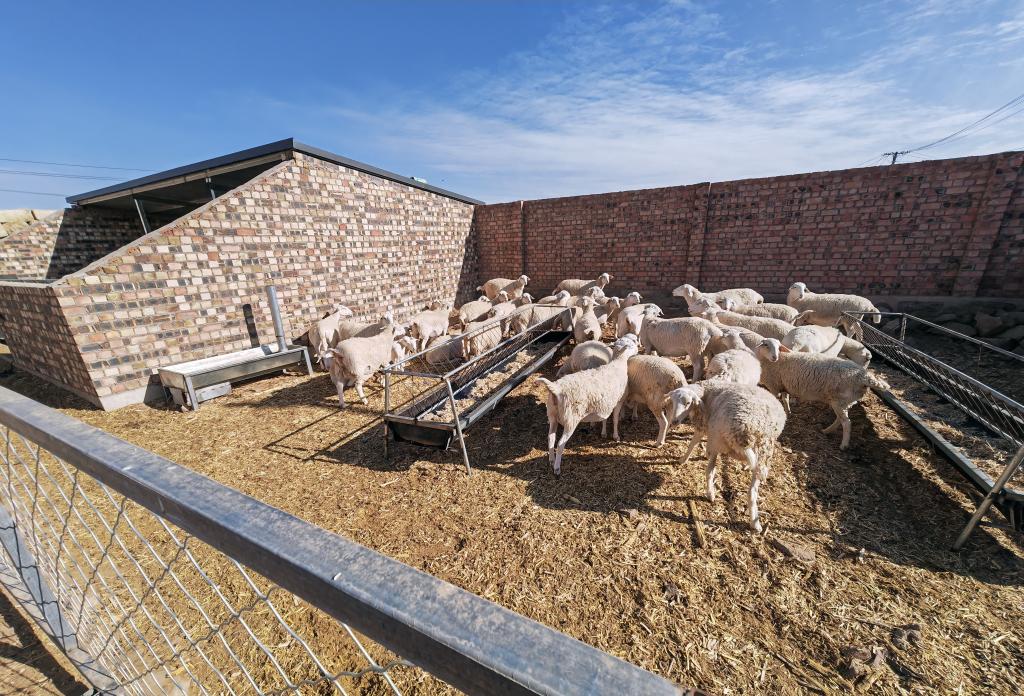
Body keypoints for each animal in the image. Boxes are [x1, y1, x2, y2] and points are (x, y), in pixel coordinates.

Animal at [535, 335, 640, 475]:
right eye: (631, 344)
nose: (638, 350)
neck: (618, 363)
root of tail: (555, 389)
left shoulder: (606, 403)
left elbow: (605, 418)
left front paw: (603, 432)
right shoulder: (618, 401)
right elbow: (615, 419)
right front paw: (615, 436)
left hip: (552, 416)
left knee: (550, 438)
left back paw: (551, 460)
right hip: (571, 419)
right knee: (560, 443)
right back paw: (557, 468)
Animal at [663, 381, 786, 532]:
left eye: (688, 403)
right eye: (673, 402)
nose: (674, 421)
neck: (708, 391)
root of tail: (745, 434)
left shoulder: (704, 426)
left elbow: (693, 443)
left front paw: (683, 459)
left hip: (716, 439)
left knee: (710, 471)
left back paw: (710, 493)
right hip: (764, 453)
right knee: (752, 491)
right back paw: (755, 523)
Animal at [756, 338, 890, 449]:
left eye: (778, 347)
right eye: (766, 345)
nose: (775, 357)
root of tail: (864, 376)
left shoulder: (773, 385)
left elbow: (777, 400)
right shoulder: (783, 385)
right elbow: (785, 399)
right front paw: (788, 411)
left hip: (839, 400)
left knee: (846, 423)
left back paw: (844, 445)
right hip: (845, 401)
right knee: (840, 419)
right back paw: (826, 431)